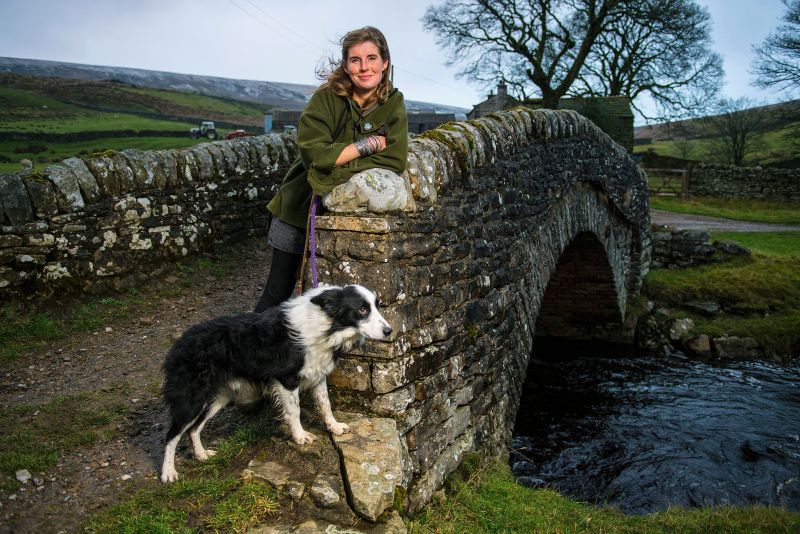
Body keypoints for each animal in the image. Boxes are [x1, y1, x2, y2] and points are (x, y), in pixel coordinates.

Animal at [159, 284, 390, 486]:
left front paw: (334, 427)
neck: (326, 325)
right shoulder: (286, 379)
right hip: (192, 398)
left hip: (218, 397)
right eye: (362, 309)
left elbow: (325, 404)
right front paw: (300, 436)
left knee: (194, 428)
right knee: (172, 435)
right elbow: (294, 411)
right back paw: (168, 473)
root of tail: (178, 345)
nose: (389, 331)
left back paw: (201, 455)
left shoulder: (318, 375)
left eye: (377, 306)